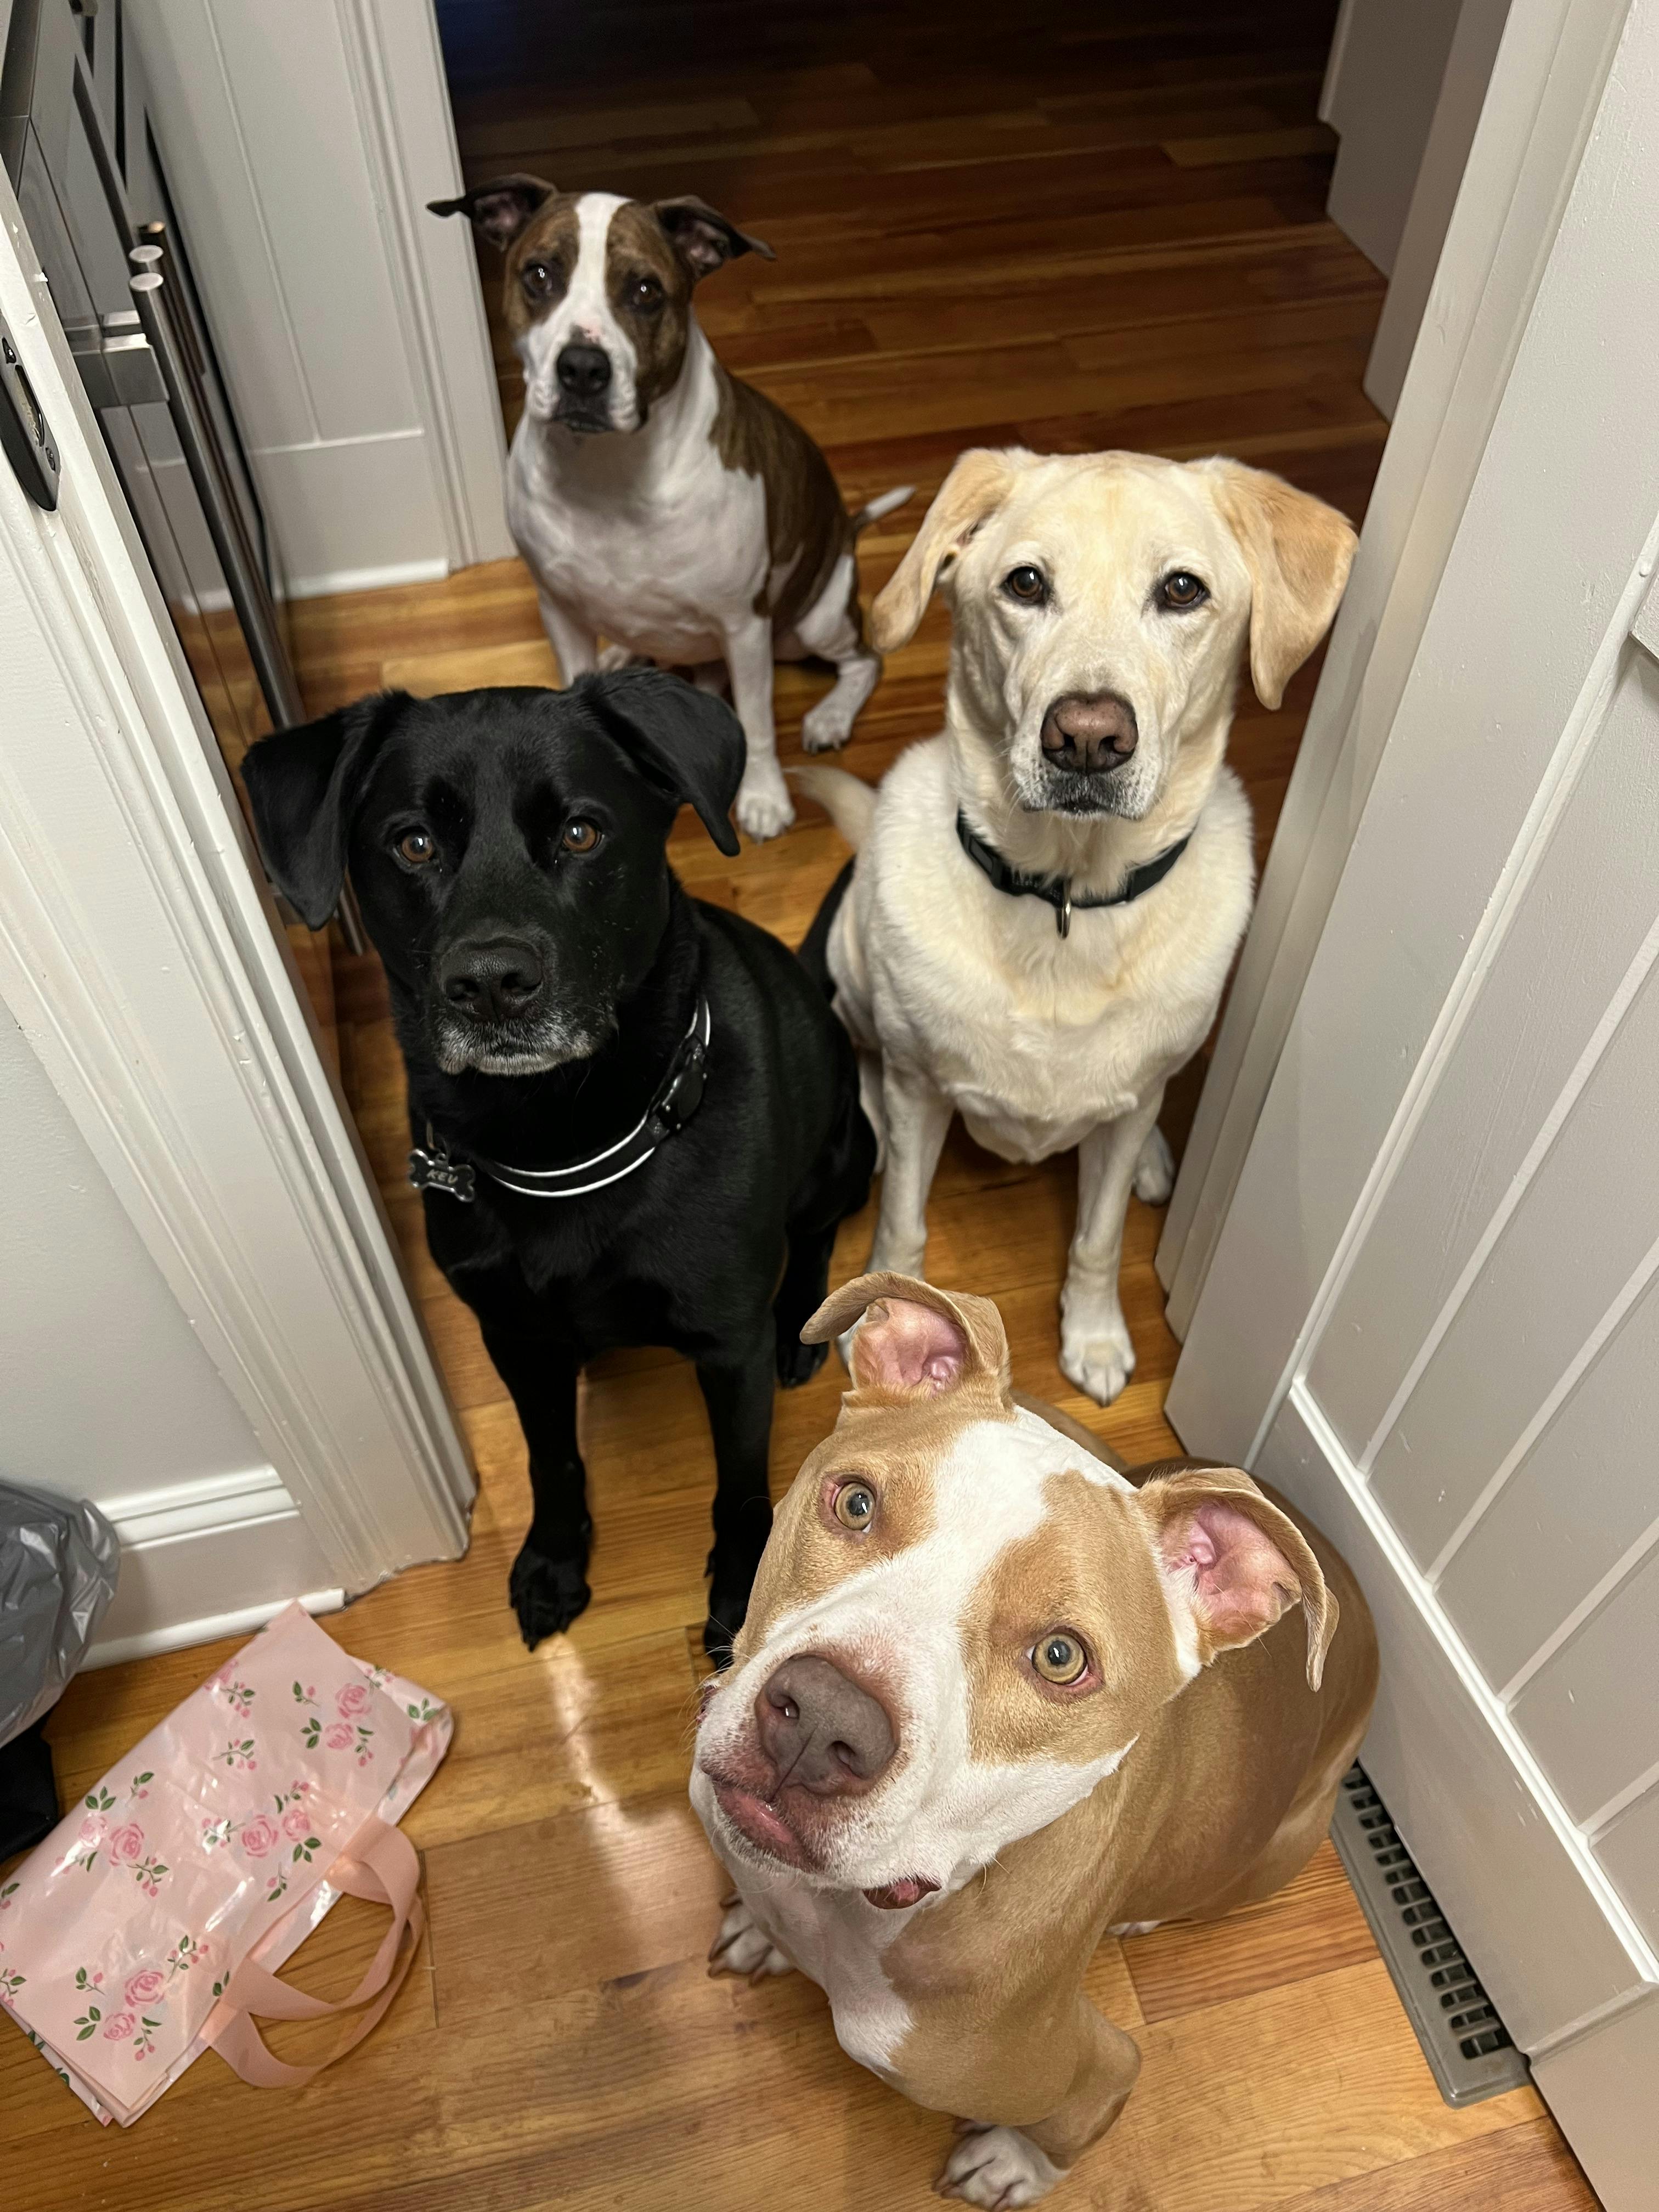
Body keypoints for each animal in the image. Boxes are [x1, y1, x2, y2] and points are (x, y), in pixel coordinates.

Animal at [246, 672, 876, 1663]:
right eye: (412, 842)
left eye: (581, 832)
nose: (491, 984)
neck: (560, 1142)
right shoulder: (512, 1335)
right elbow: (551, 1455)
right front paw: (552, 1559)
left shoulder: (725, 1343)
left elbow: (739, 1485)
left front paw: (739, 1599)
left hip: (844, 1154)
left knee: (813, 1234)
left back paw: (800, 1324)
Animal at [429, 174, 911, 836]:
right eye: (539, 275)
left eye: (645, 291)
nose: (583, 368)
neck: (608, 471)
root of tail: (846, 530)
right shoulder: (558, 610)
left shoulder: (744, 625)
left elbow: (757, 721)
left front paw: (765, 798)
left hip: (814, 619)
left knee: (863, 661)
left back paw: (832, 715)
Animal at [690, 1274, 1380, 2203]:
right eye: (857, 1503)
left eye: (1061, 1658)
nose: (825, 1718)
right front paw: (763, 1929)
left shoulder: (1089, 2065)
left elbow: (1074, 2123)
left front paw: (1011, 2165)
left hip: (1281, 1848)